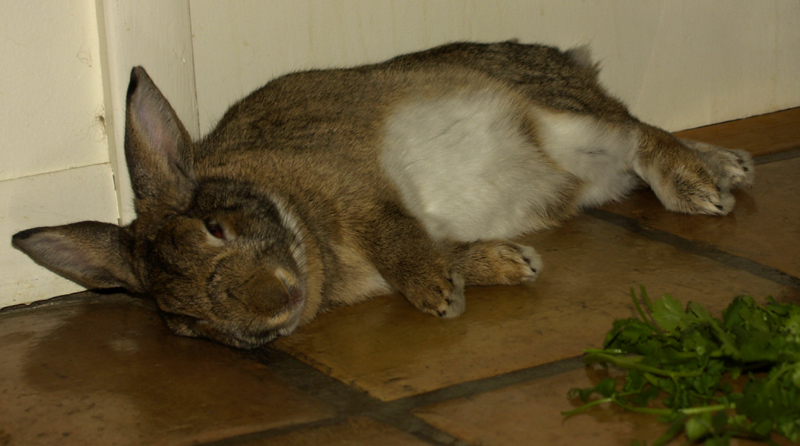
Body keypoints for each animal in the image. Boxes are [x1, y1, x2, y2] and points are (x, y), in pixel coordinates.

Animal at [10, 41, 756, 348]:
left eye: (216, 227)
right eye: (185, 322)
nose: (273, 309)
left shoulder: (357, 182)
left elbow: (393, 230)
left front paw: (435, 292)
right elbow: (443, 244)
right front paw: (506, 264)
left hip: (563, 113)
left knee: (639, 133)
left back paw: (700, 185)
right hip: (586, 161)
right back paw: (730, 165)